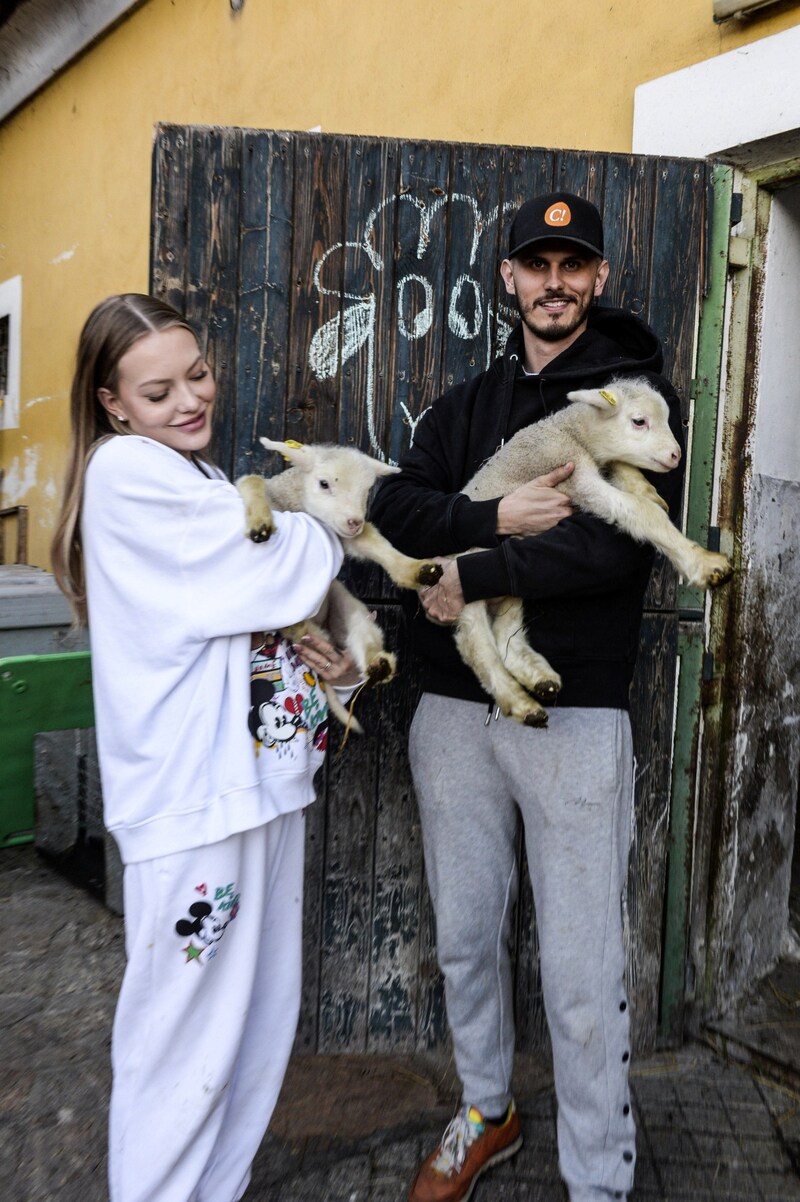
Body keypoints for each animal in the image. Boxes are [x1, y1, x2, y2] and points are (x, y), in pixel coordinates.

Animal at [235, 437, 442, 726]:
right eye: (324, 484)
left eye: (367, 490)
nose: (354, 521)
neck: (297, 503)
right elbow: (252, 480)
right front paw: (260, 524)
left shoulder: (344, 535)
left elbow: (377, 544)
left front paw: (417, 571)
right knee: (298, 631)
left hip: (347, 607)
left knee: (361, 635)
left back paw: (377, 664)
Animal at [449, 375, 730, 726]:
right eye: (639, 421)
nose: (676, 455)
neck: (571, 433)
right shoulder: (573, 476)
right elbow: (641, 512)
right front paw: (706, 564)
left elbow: (626, 473)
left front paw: (647, 490)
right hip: (466, 586)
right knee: (476, 645)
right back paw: (519, 702)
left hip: (506, 585)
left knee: (506, 635)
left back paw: (540, 681)